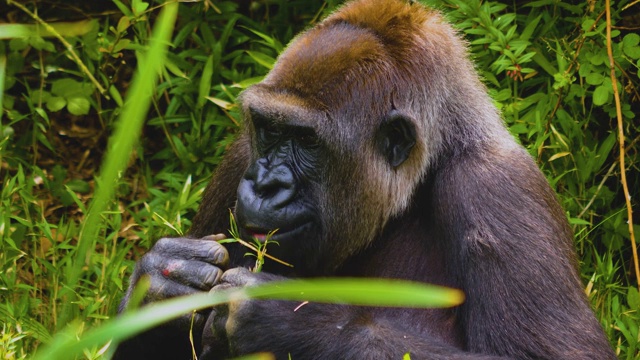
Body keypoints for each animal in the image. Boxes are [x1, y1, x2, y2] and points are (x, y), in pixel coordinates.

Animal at [114, 0, 616, 358]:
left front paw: (292, 320)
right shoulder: (241, 155)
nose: (264, 184)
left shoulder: (499, 188)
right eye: (269, 129)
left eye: (307, 140)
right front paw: (159, 284)